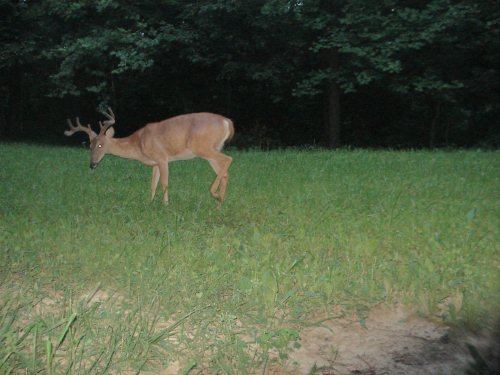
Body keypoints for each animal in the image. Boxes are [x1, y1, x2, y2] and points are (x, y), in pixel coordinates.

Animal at [64, 107, 234, 206]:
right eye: (90, 146)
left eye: (100, 145)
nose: (92, 164)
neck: (138, 143)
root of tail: (227, 122)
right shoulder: (155, 163)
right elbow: (153, 184)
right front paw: (149, 203)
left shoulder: (162, 158)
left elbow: (164, 183)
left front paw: (166, 206)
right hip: (210, 151)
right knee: (225, 173)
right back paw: (220, 202)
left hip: (203, 147)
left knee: (228, 159)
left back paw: (215, 194)